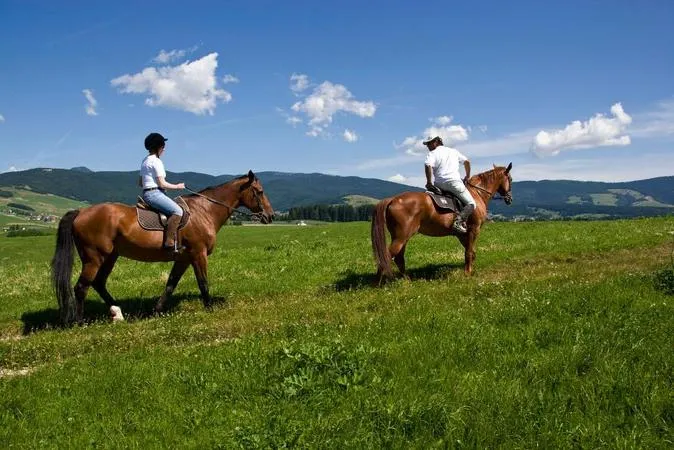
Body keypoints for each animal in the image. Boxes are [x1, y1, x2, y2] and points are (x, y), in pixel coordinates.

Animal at [51, 170, 274, 325]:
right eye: (260, 192)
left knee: (98, 283)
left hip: (110, 257)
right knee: (81, 287)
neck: (204, 211)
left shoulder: (183, 259)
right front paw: (209, 307)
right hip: (94, 258)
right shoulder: (198, 254)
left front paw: (157, 310)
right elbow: (203, 282)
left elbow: (170, 284)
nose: (270, 216)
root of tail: (80, 212)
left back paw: (118, 313)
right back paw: (80, 322)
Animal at [371, 163, 513, 283]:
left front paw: (469, 269)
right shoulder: (474, 229)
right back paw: (378, 283)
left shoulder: (462, 234)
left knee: (399, 258)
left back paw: (405, 280)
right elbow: (469, 252)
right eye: (510, 179)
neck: (476, 194)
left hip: (402, 238)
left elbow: (470, 251)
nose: (510, 199)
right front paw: (467, 273)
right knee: (386, 256)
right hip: (401, 237)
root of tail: (393, 199)